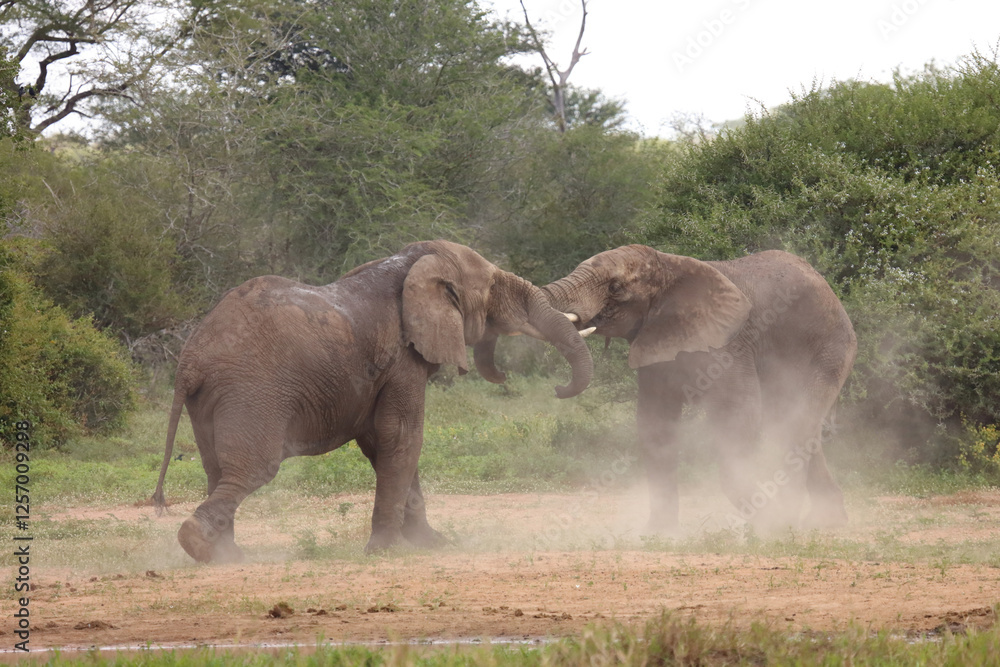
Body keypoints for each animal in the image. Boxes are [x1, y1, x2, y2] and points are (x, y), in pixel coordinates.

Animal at [152, 240, 594, 562]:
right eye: (493, 289)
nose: (558, 389)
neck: (414, 261)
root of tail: (189, 359)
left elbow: (382, 443)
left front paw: (433, 544)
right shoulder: (403, 358)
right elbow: (402, 436)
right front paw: (387, 550)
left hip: (211, 398)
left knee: (217, 469)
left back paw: (226, 555)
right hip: (252, 391)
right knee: (252, 469)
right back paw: (200, 545)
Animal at [543, 245, 857, 533]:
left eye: (615, 287)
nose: (557, 388)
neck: (669, 265)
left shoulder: (728, 346)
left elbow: (736, 416)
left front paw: (766, 523)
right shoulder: (657, 343)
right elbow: (654, 423)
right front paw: (658, 533)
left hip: (830, 350)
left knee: (795, 424)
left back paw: (791, 521)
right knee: (800, 427)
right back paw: (825, 522)